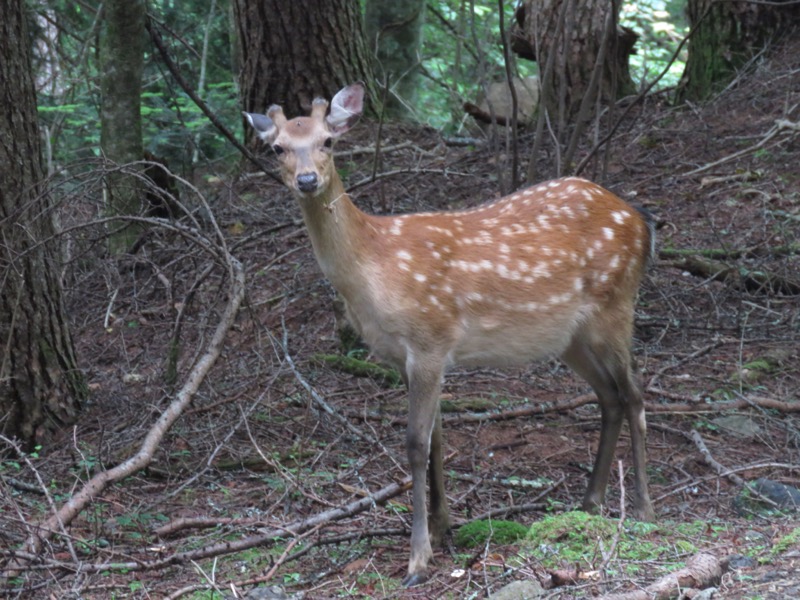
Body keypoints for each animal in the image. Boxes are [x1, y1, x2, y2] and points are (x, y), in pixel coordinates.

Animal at [244, 82, 656, 584]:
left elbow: (415, 442)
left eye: (328, 141)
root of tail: (639, 220)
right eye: (278, 147)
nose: (306, 180)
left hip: (615, 305)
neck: (373, 267)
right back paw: (590, 501)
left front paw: (418, 558)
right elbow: (438, 438)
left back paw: (643, 507)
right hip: (571, 337)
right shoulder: (409, 356)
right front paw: (443, 528)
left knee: (634, 391)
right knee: (610, 396)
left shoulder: (429, 337)